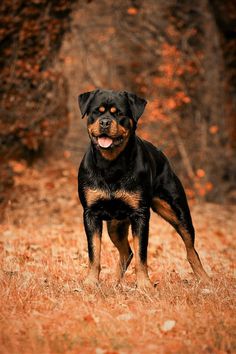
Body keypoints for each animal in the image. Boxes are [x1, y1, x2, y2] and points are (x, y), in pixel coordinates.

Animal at [77, 89, 208, 290]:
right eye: (96, 112)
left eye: (119, 113)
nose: (105, 122)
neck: (111, 165)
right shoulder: (91, 213)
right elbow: (94, 253)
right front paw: (91, 282)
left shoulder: (140, 214)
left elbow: (142, 254)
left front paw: (144, 285)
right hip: (115, 225)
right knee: (127, 252)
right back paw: (115, 282)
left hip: (178, 212)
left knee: (190, 248)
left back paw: (205, 278)